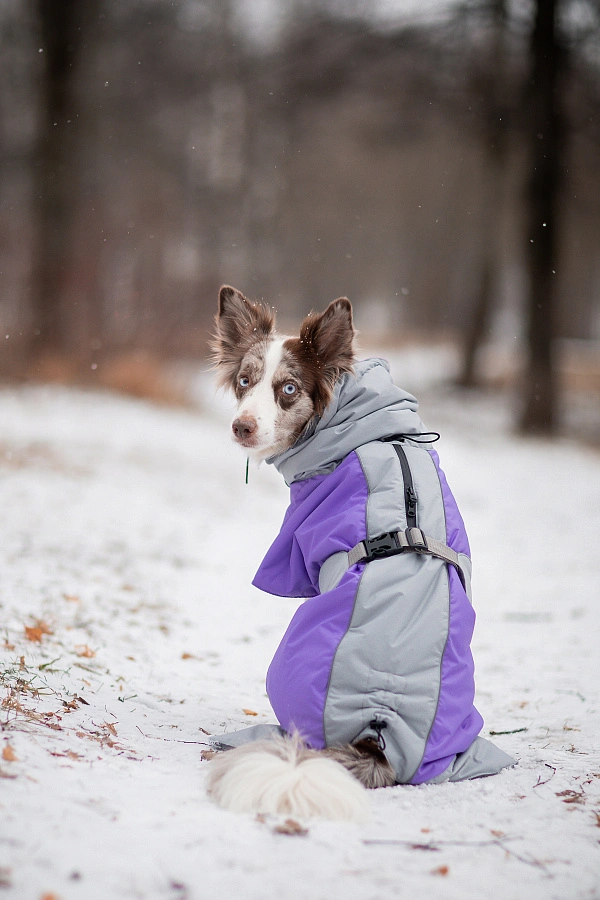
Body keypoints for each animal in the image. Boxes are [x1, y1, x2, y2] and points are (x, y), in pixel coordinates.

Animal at [209, 284, 512, 820]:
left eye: (289, 388)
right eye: (245, 381)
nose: (240, 427)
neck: (367, 428)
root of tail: (378, 726)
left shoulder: (297, 549)